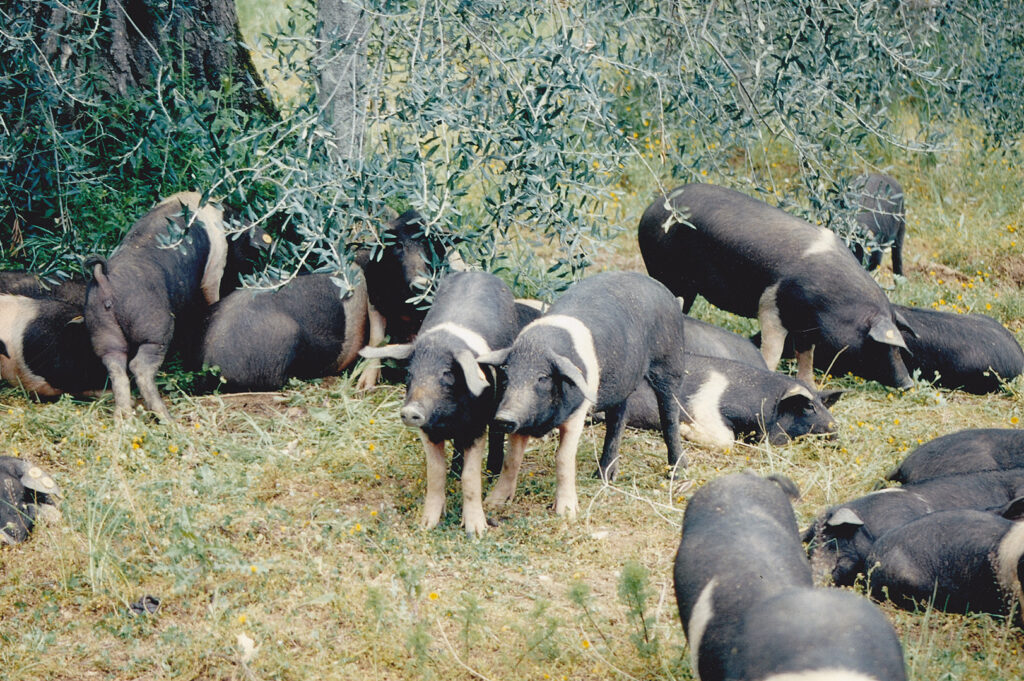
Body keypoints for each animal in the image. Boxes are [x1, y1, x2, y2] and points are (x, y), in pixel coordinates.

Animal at [85, 192, 262, 420]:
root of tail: (105, 277)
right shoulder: (214, 266)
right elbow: (211, 292)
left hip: (102, 328)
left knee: (116, 366)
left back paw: (123, 418)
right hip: (155, 326)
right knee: (139, 365)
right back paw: (166, 417)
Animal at [358, 271, 525, 537]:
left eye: (447, 374)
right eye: (409, 373)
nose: (411, 411)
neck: (449, 419)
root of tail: (477, 272)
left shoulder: (476, 428)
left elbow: (470, 478)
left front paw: (477, 532)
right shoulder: (428, 430)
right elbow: (435, 473)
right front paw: (426, 525)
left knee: (497, 434)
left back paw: (491, 471)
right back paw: (455, 469)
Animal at [479, 271, 688, 518]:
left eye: (542, 378)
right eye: (505, 374)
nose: (504, 418)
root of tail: (668, 294)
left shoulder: (577, 414)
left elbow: (563, 458)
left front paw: (567, 513)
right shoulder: (524, 418)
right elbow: (512, 458)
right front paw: (492, 504)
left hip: (670, 362)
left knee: (669, 415)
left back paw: (676, 472)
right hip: (623, 382)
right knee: (618, 420)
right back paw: (605, 477)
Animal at [617, 354, 841, 447]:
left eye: (823, 405)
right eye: (809, 407)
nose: (835, 428)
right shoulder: (703, 406)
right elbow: (727, 440)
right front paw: (683, 429)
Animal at [638, 183, 915, 388]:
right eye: (885, 345)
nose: (908, 383)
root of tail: (650, 209)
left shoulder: (804, 325)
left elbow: (806, 357)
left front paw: (810, 386)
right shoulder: (772, 308)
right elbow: (772, 352)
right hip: (666, 271)